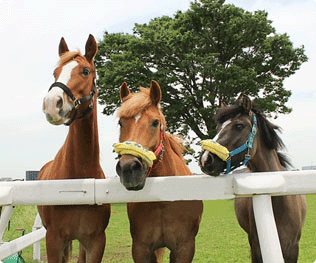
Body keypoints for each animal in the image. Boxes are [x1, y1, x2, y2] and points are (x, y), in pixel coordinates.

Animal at [113, 81, 202, 263]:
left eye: (155, 122)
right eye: (120, 123)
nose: (128, 168)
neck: (164, 201)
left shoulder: (184, 248)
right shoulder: (141, 249)